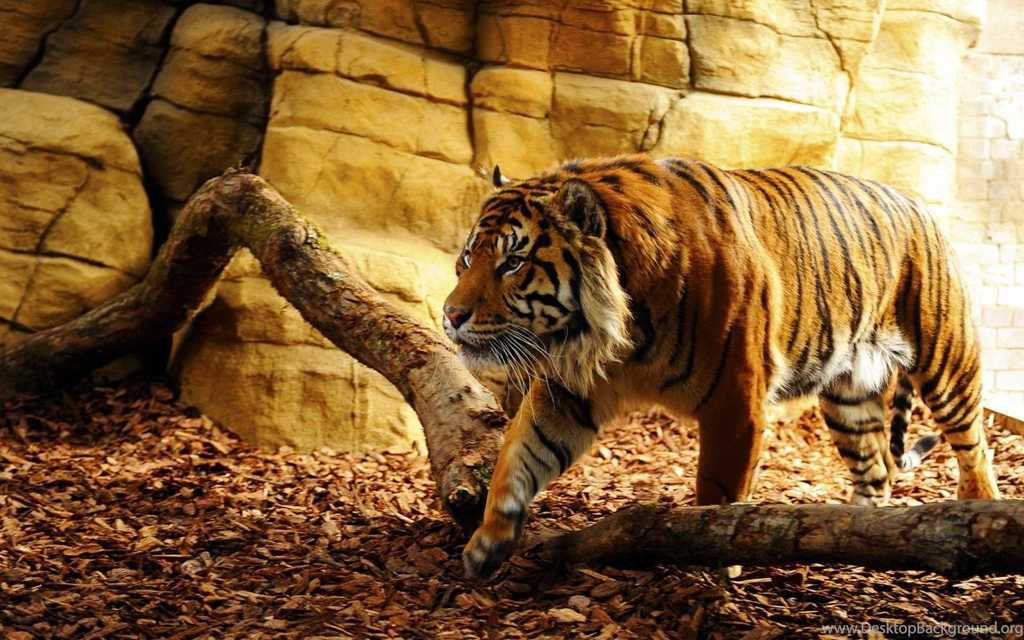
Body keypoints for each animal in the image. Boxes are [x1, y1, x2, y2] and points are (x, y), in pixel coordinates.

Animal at [442, 154, 1000, 578]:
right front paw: (487, 542)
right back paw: (854, 534)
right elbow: (518, 454)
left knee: (975, 447)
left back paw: (975, 510)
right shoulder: (568, 391)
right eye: (467, 258)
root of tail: (919, 205)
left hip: (946, 361)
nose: (450, 315)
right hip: (849, 396)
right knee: (876, 468)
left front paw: (707, 568)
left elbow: (715, 493)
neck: (614, 331)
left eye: (512, 263)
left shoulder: (735, 402)